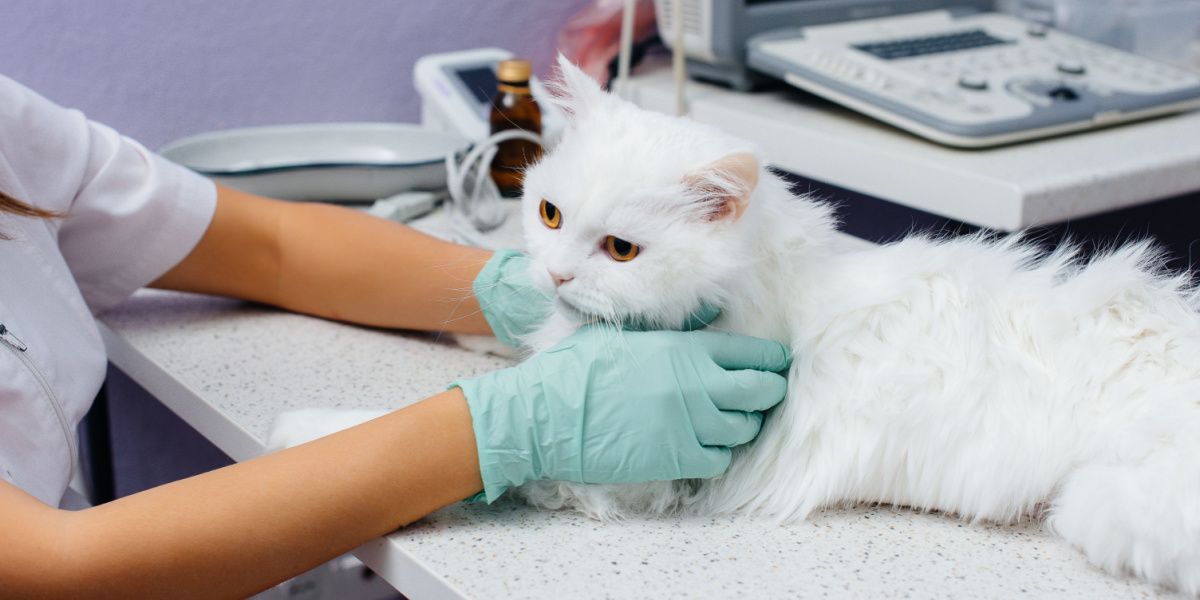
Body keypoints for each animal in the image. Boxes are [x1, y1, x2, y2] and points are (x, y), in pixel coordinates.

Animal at [272, 58, 1200, 592]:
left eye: (621, 248)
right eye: (546, 213)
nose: (560, 272)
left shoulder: (626, 481)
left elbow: (467, 440)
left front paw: (300, 432)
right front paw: (507, 307)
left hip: (1103, 504)